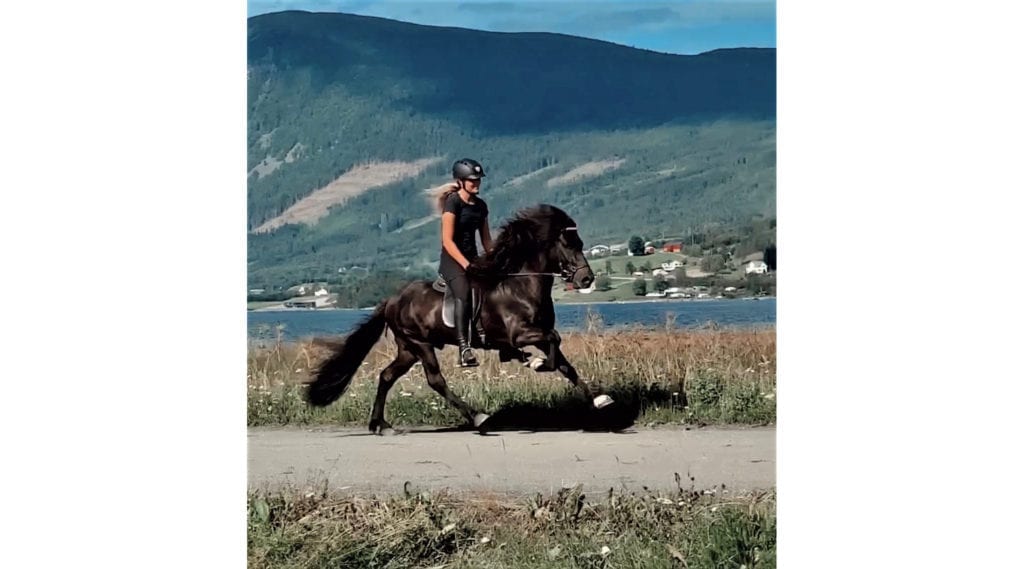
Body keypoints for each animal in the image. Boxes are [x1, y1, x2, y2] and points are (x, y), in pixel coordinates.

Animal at [307, 202, 610, 433]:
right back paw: (478, 417)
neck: (520, 284)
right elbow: (553, 344)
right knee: (435, 380)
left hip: (408, 348)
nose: (586, 279)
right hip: (420, 344)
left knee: (387, 376)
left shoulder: (536, 335)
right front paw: (535, 362)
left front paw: (598, 400)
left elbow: (564, 363)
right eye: (567, 244)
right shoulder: (520, 334)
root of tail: (392, 300)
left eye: (581, 243)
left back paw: (380, 424)